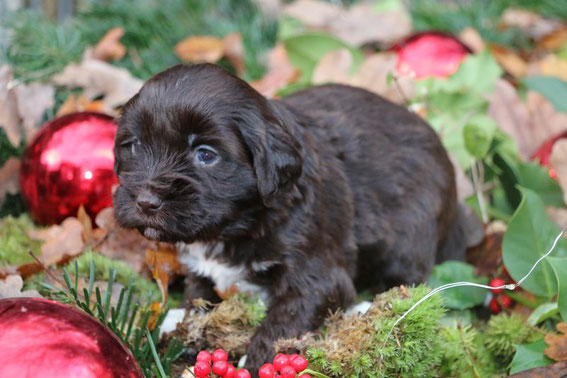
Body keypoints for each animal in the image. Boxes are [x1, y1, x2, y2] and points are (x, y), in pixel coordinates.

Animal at [113, 63, 468, 370]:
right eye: (134, 145)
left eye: (205, 155)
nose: (145, 201)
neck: (236, 225)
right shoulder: (202, 268)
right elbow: (199, 295)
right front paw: (188, 325)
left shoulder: (315, 275)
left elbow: (281, 324)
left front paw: (256, 364)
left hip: (406, 239)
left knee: (410, 283)